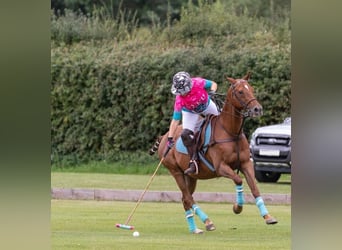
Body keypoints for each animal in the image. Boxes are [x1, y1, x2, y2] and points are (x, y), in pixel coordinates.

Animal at [150, 72, 278, 234]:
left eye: (252, 89)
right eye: (240, 92)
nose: (257, 109)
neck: (231, 132)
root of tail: (165, 137)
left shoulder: (246, 164)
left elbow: (255, 188)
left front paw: (268, 217)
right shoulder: (220, 167)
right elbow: (238, 180)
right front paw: (237, 207)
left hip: (191, 176)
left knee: (185, 199)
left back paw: (195, 229)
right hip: (176, 172)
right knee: (188, 197)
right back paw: (208, 222)